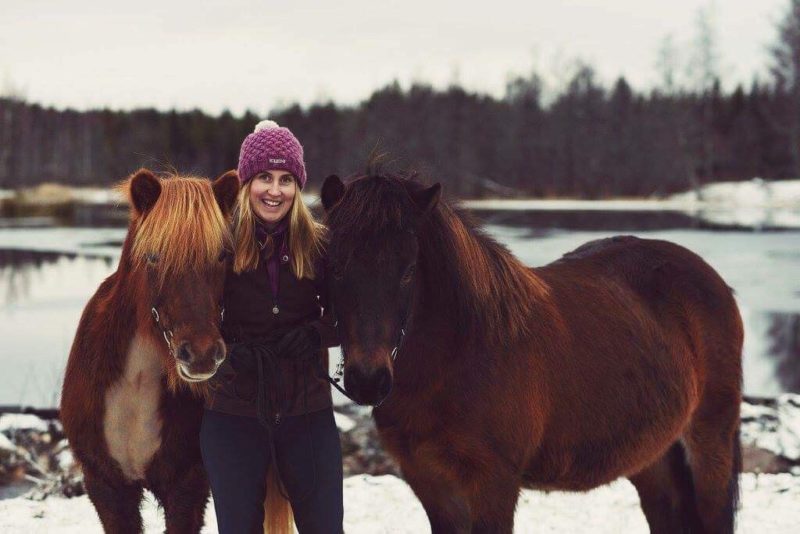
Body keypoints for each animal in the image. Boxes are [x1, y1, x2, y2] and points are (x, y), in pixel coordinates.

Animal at [60, 170, 247, 532]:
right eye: (153, 256)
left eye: (223, 255)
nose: (202, 353)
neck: (134, 387)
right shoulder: (106, 488)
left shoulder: (187, 487)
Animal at [322, 174, 748, 532]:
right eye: (335, 267)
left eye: (409, 270)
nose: (368, 380)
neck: (456, 359)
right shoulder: (430, 484)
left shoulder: (493, 485)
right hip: (651, 455)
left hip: (710, 441)